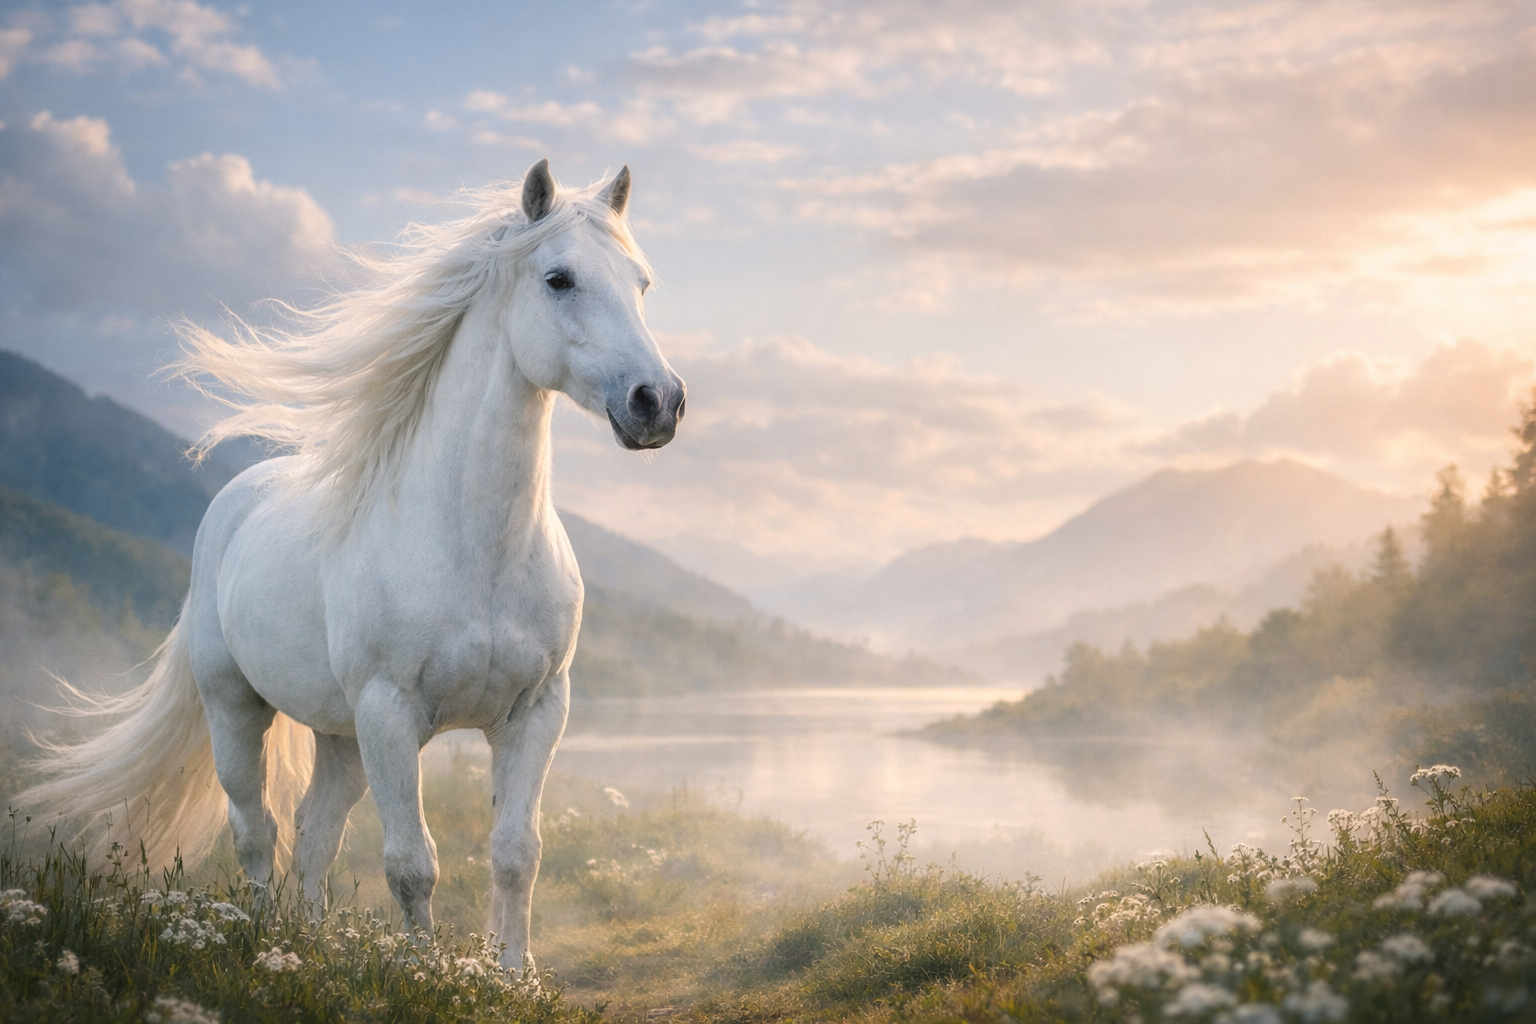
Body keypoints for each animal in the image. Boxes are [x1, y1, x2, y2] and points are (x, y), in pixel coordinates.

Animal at [18, 159, 684, 972]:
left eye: (641, 283)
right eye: (559, 279)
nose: (658, 402)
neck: (477, 550)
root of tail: (233, 506)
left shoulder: (535, 712)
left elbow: (515, 853)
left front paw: (513, 977)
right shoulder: (390, 712)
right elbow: (412, 864)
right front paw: (429, 977)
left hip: (340, 736)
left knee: (314, 832)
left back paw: (307, 945)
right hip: (239, 709)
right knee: (257, 829)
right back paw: (266, 942)